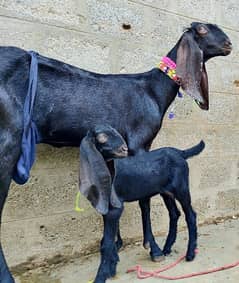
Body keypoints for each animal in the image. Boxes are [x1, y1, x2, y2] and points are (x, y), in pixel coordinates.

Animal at [0, 21, 232, 282]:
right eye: (202, 29)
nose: (229, 44)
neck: (152, 90)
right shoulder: (139, 142)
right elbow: (144, 200)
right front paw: (152, 248)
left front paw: (117, 246)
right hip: (7, 139)